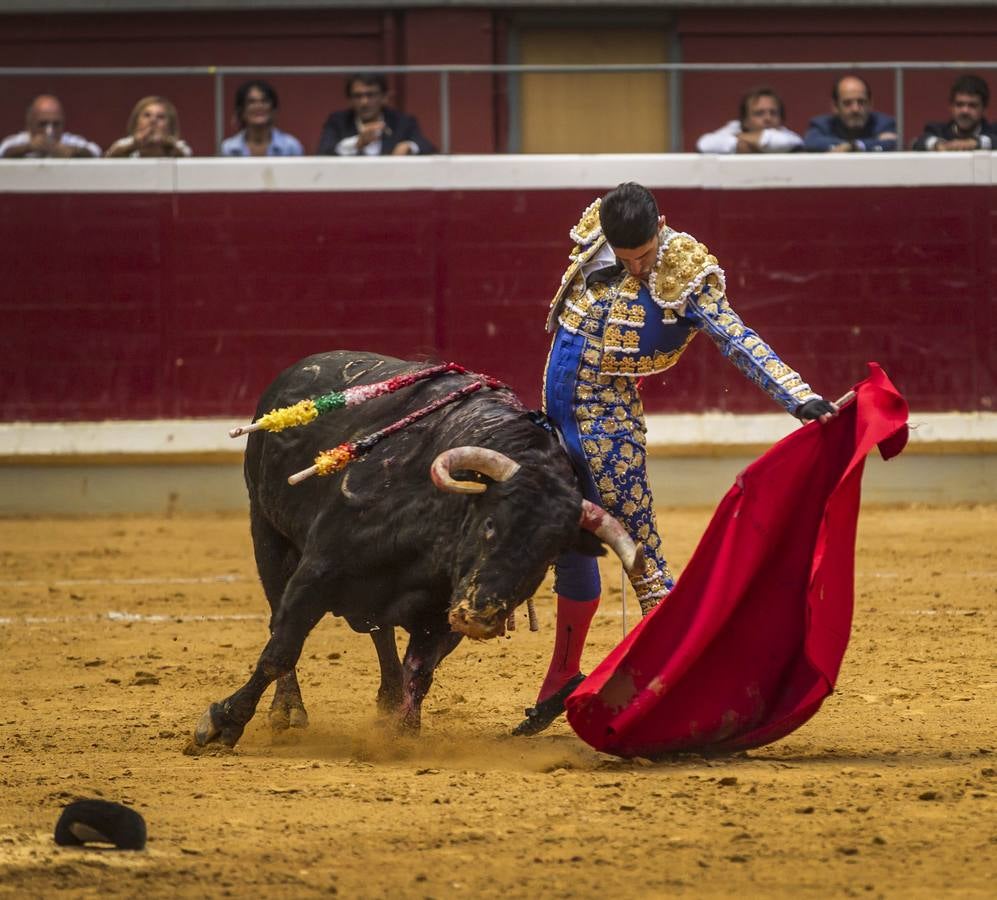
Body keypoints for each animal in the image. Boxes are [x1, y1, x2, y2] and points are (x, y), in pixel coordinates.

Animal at [192, 350, 640, 744]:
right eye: (491, 523)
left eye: (549, 553)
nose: (481, 616)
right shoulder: (317, 572)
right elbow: (280, 650)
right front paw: (221, 723)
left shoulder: (441, 614)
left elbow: (420, 671)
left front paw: (400, 733)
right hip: (268, 535)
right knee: (280, 619)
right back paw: (288, 710)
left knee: (382, 636)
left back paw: (388, 702)